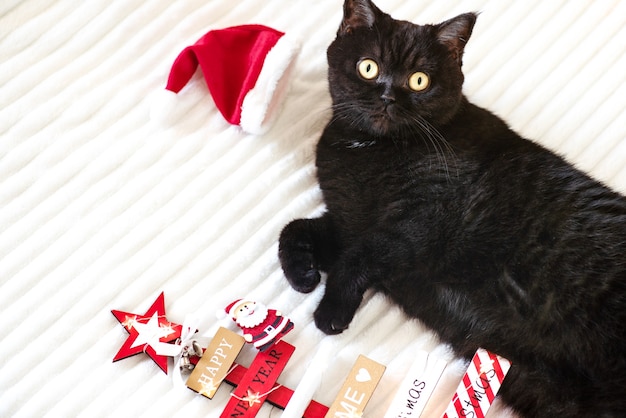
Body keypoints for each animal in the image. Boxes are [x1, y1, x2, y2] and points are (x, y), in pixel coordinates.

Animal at [278, 1, 624, 416]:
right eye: (369, 67)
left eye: (419, 81)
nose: (388, 96)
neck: (369, 150)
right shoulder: (349, 222)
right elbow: (295, 228)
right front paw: (303, 274)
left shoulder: (420, 221)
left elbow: (358, 259)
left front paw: (331, 311)